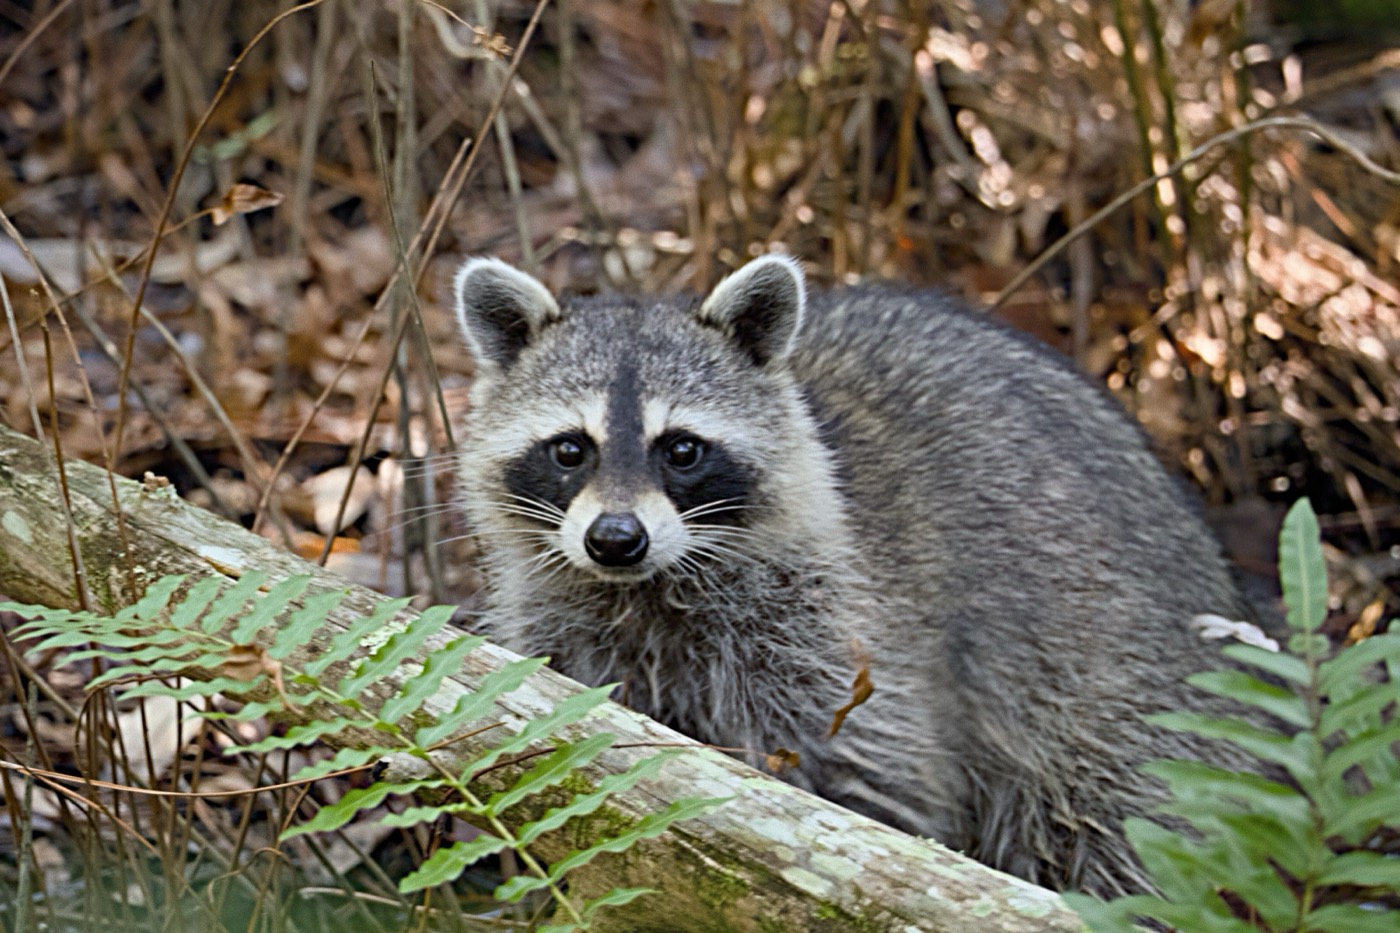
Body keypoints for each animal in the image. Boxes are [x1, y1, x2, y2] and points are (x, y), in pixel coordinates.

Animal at [451, 254, 1253, 896]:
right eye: (569, 449)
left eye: (681, 450)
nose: (615, 540)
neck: (648, 587)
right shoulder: (566, 623)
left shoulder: (835, 629)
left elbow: (867, 779)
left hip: (1108, 671)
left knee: (1106, 818)